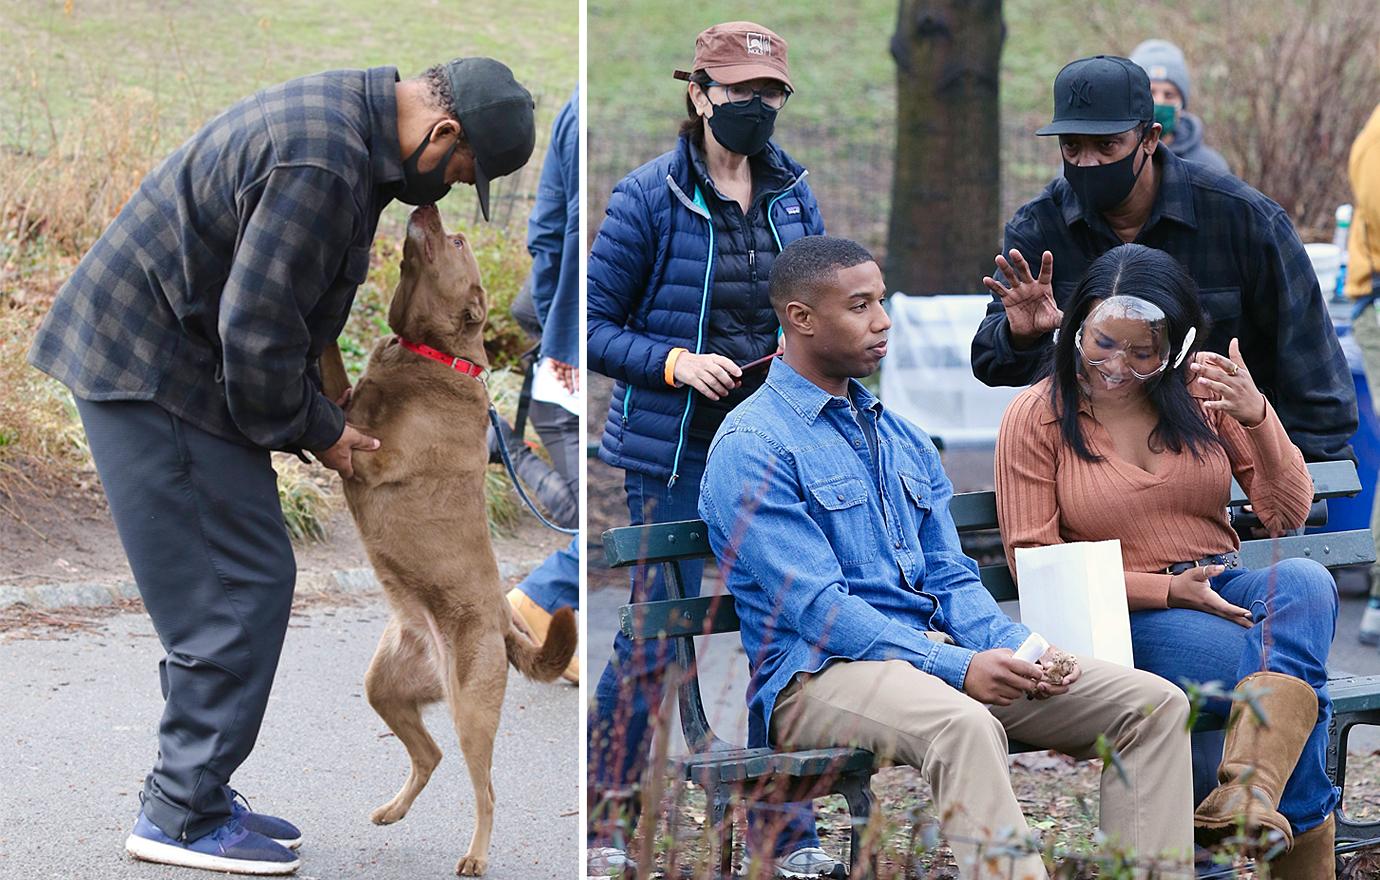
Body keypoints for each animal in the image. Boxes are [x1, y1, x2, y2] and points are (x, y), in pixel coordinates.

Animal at [318, 205, 576, 877]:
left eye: (456, 240)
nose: (426, 207)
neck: (434, 355)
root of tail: (505, 626)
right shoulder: (349, 405)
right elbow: (332, 367)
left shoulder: (367, 456)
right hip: (386, 685)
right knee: (428, 755)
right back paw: (391, 811)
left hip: (470, 708)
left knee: (485, 789)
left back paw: (475, 855)